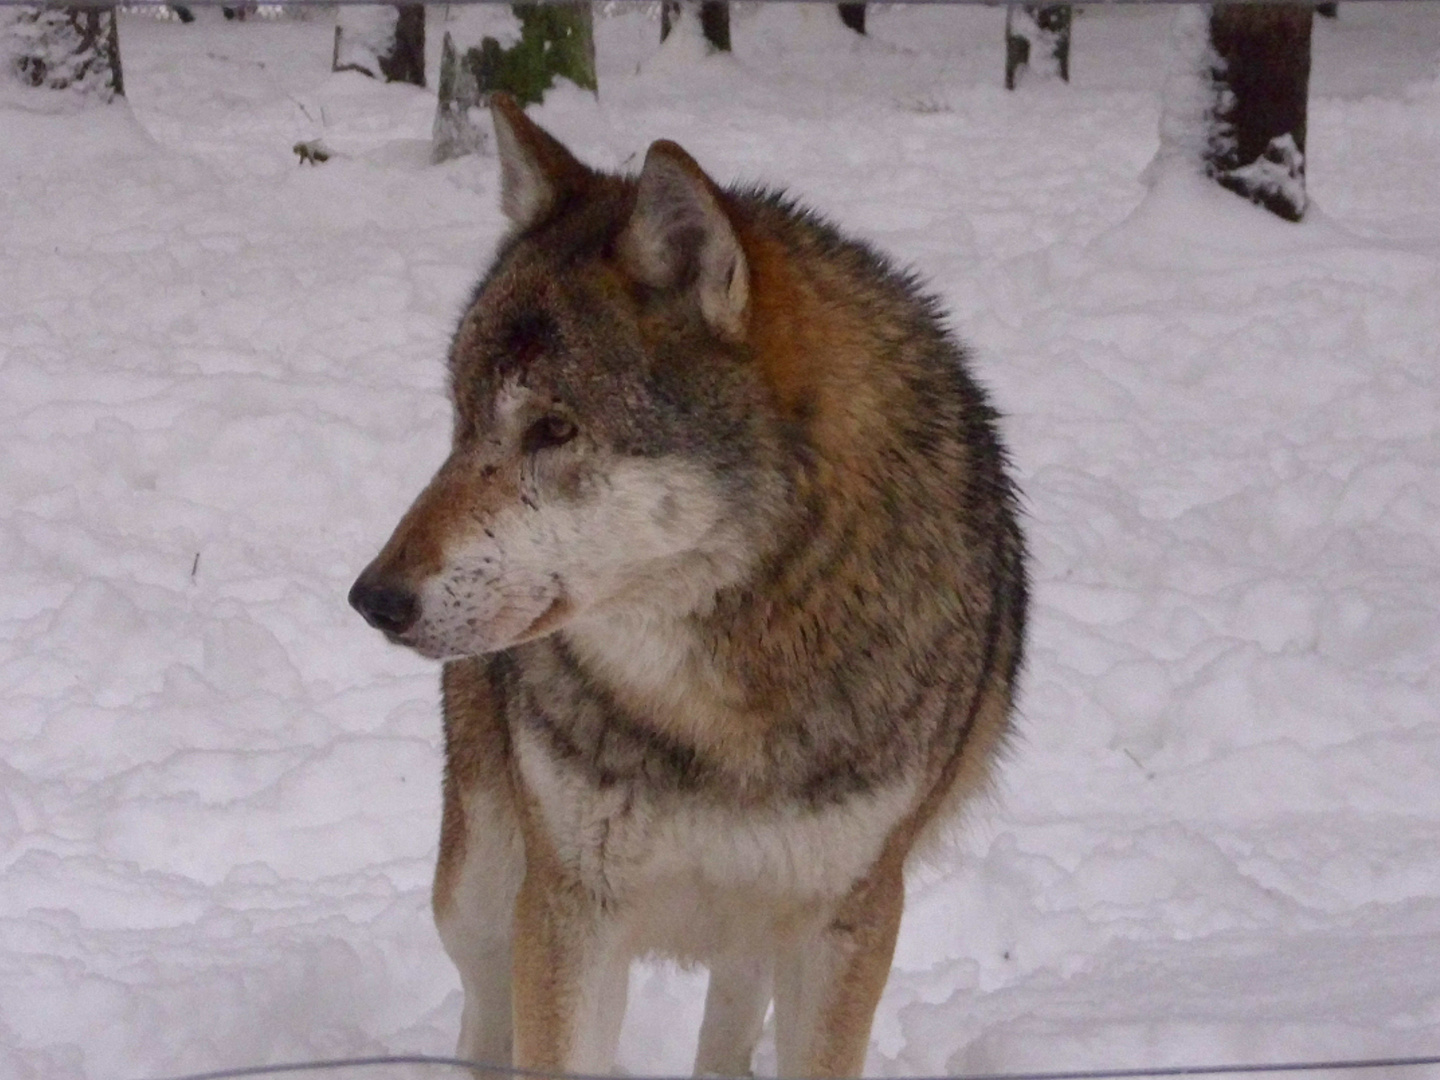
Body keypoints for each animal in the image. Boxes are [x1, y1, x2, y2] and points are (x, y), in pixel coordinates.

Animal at [347, 97, 1025, 1077]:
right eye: (462, 420)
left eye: (554, 428)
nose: (374, 598)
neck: (720, 708)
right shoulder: (570, 909)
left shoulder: (851, 920)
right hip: (478, 886)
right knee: (483, 1008)